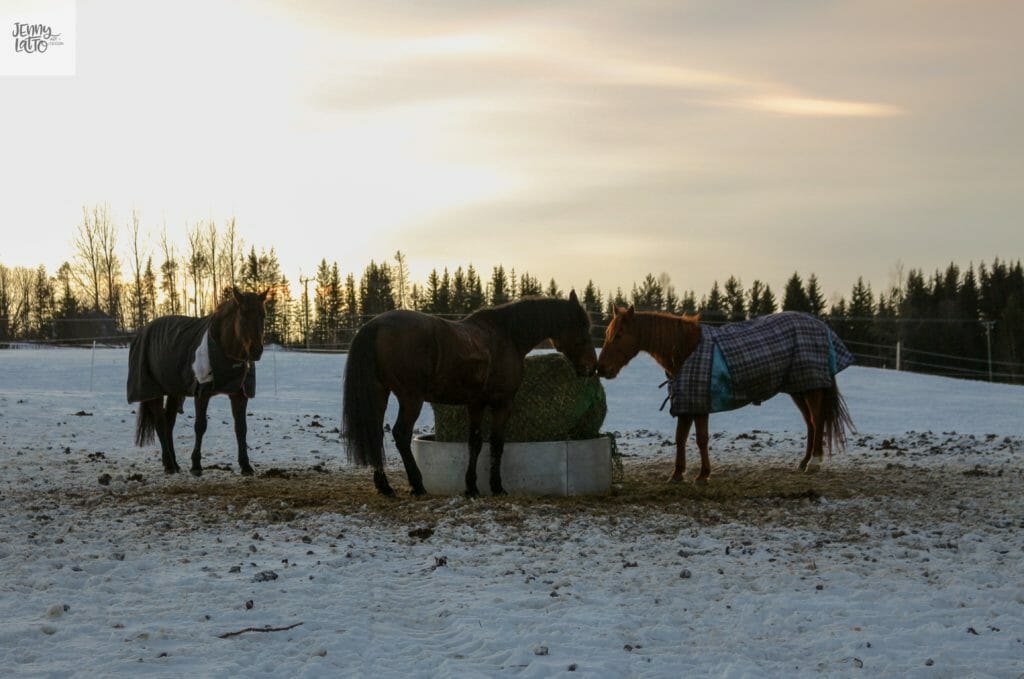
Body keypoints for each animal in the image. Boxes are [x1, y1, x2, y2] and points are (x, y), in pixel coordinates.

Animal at [126, 288, 268, 475]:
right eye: (243, 315)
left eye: (263, 315)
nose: (256, 351)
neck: (223, 348)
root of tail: (142, 331)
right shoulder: (202, 392)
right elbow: (200, 426)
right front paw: (196, 465)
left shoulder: (239, 394)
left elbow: (241, 428)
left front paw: (245, 465)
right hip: (153, 391)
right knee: (160, 423)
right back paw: (169, 464)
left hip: (174, 391)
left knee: (168, 423)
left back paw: (174, 464)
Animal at [344, 288, 598, 497]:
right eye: (583, 330)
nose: (591, 367)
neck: (507, 335)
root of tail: (375, 325)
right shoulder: (503, 403)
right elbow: (496, 443)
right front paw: (496, 487)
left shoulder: (475, 404)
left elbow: (474, 442)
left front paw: (471, 487)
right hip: (411, 398)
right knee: (401, 435)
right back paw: (417, 485)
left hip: (380, 394)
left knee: (376, 433)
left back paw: (384, 486)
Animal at [598, 307, 851, 483]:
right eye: (608, 333)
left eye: (619, 334)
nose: (601, 369)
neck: (685, 349)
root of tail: (820, 325)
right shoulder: (687, 403)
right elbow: (680, 438)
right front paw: (677, 474)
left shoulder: (699, 404)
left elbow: (701, 439)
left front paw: (703, 475)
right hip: (798, 388)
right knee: (810, 423)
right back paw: (804, 462)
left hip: (811, 388)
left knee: (817, 421)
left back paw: (814, 462)